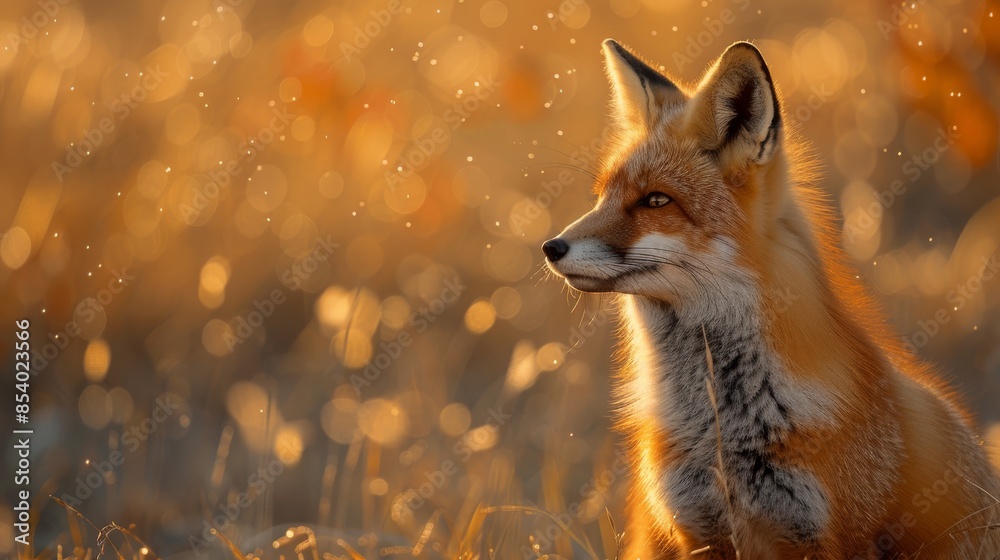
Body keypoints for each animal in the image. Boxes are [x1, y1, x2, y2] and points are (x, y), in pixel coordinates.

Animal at [542, 39, 1000, 559]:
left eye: (656, 201)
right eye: (601, 197)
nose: (551, 247)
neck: (720, 431)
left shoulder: (822, 535)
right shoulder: (699, 530)